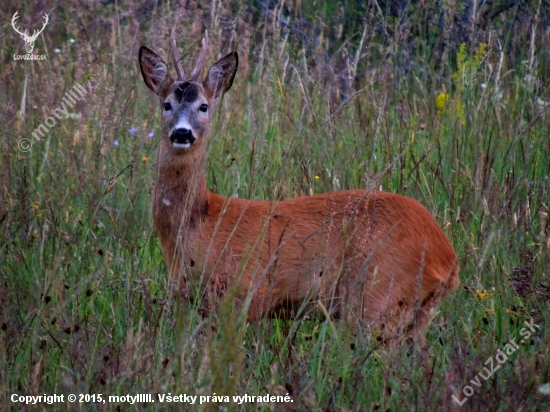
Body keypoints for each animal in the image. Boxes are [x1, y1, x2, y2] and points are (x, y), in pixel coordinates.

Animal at [139, 31, 462, 342]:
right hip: (413, 314)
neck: (200, 222)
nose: (182, 133)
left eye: (203, 106)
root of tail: (448, 257)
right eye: (166, 104)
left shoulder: (247, 294)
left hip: (378, 299)